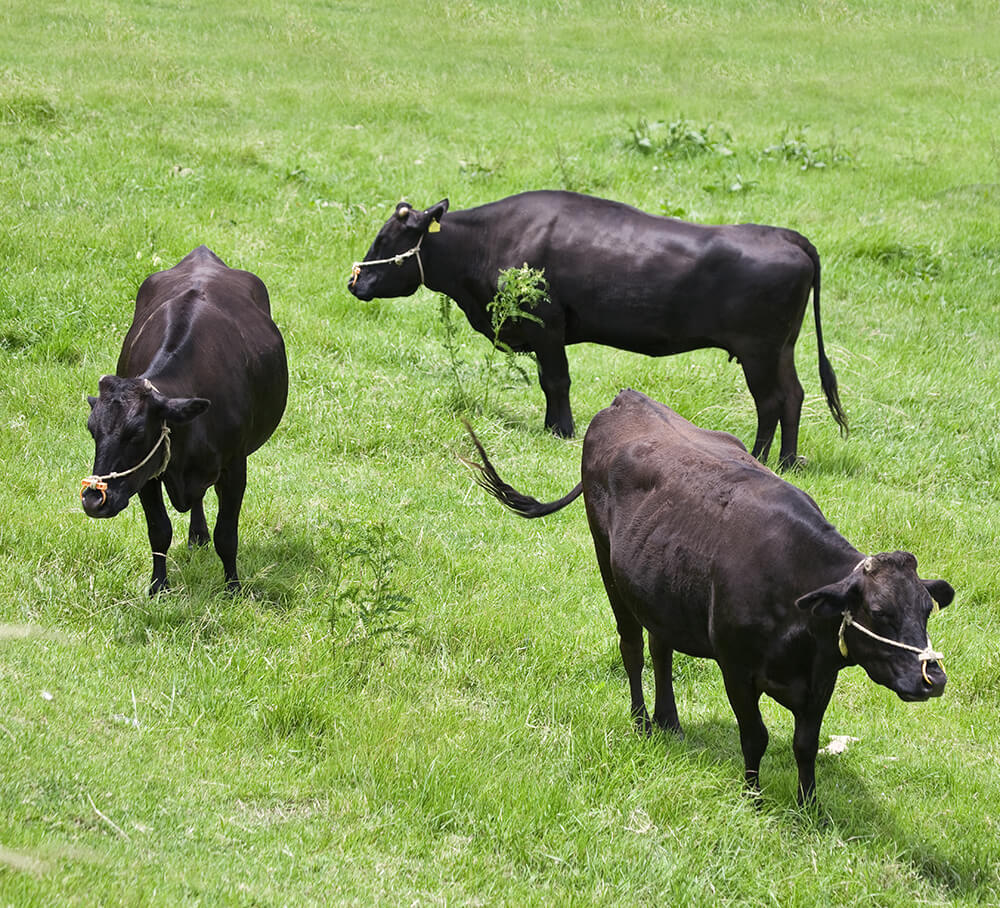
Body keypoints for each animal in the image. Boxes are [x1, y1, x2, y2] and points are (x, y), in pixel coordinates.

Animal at [81, 247, 288, 596]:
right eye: (92, 430)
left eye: (137, 432)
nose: (94, 500)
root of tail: (202, 254)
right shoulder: (147, 475)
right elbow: (159, 531)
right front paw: (158, 587)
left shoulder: (234, 468)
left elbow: (226, 536)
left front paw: (232, 588)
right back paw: (196, 535)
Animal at [348, 188, 848, 464]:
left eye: (387, 239)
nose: (355, 281)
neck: (487, 241)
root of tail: (783, 234)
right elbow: (550, 383)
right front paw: (552, 427)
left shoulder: (548, 327)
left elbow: (557, 381)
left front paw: (562, 431)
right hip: (780, 348)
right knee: (794, 396)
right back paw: (788, 461)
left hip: (758, 350)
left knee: (771, 401)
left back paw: (763, 458)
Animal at [462, 390, 952, 800]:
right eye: (878, 611)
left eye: (927, 610)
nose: (934, 678)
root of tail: (626, 398)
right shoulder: (735, 667)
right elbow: (755, 736)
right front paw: (753, 799)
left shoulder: (820, 676)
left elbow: (805, 744)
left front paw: (809, 806)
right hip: (608, 567)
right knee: (632, 647)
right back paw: (642, 722)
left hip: (658, 587)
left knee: (660, 648)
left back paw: (669, 722)